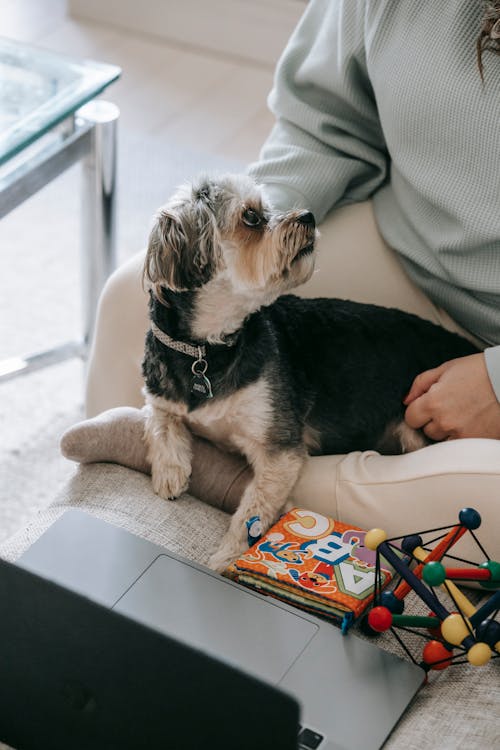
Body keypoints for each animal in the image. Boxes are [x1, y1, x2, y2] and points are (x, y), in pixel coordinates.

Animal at [143, 173, 478, 572]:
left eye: (267, 207)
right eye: (252, 217)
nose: (308, 216)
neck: (208, 348)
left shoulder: (279, 448)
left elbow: (252, 511)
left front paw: (226, 557)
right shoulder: (160, 392)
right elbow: (160, 419)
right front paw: (170, 473)